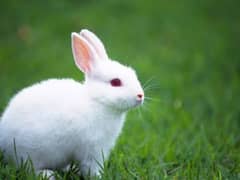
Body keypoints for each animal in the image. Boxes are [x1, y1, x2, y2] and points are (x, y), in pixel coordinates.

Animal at [0, 29, 144, 177]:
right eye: (115, 82)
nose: (140, 95)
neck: (97, 101)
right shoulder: (92, 150)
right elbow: (91, 167)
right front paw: (98, 177)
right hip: (29, 154)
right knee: (29, 169)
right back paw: (48, 175)